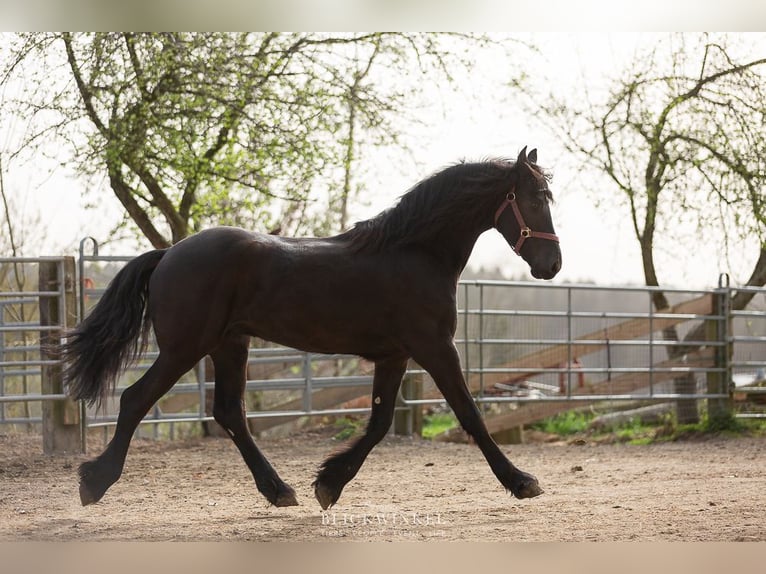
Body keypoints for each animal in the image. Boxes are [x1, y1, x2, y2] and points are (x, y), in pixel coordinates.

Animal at [60, 146, 560, 510]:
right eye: (535, 199)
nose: (553, 265)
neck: (414, 253)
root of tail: (168, 253)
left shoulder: (395, 356)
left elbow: (379, 423)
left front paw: (329, 484)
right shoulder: (435, 347)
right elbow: (470, 414)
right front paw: (522, 481)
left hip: (229, 345)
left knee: (229, 413)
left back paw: (280, 490)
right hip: (185, 348)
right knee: (136, 399)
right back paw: (94, 482)